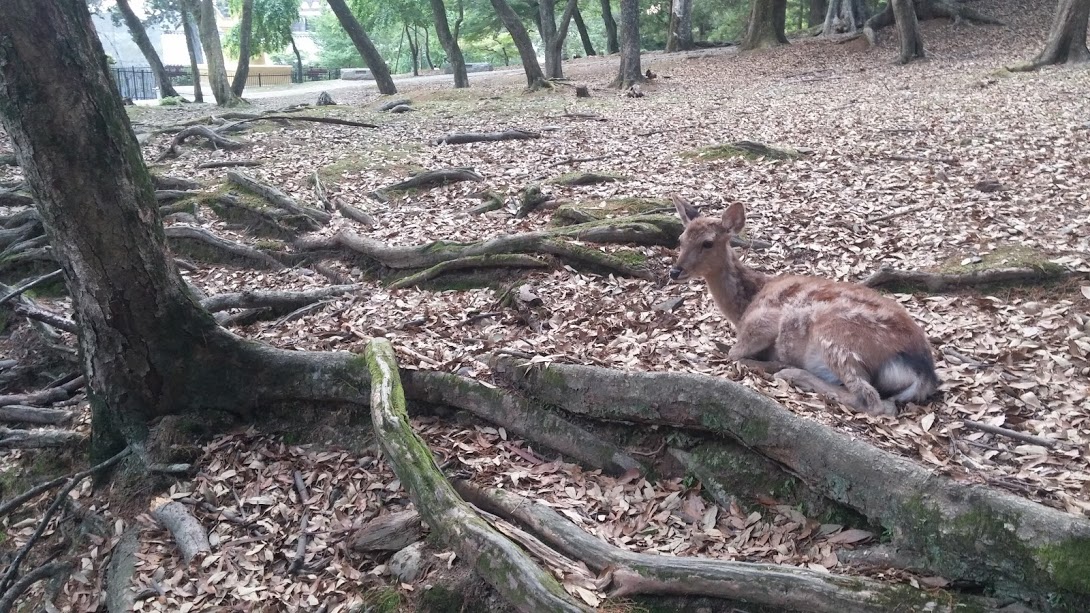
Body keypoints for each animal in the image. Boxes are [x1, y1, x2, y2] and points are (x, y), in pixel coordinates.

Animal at [667, 195, 941, 414]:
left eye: (708, 243)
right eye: (680, 238)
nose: (675, 271)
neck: (745, 305)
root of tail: (923, 372)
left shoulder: (763, 322)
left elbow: (734, 354)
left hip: (837, 337)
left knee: (874, 401)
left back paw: (789, 371)